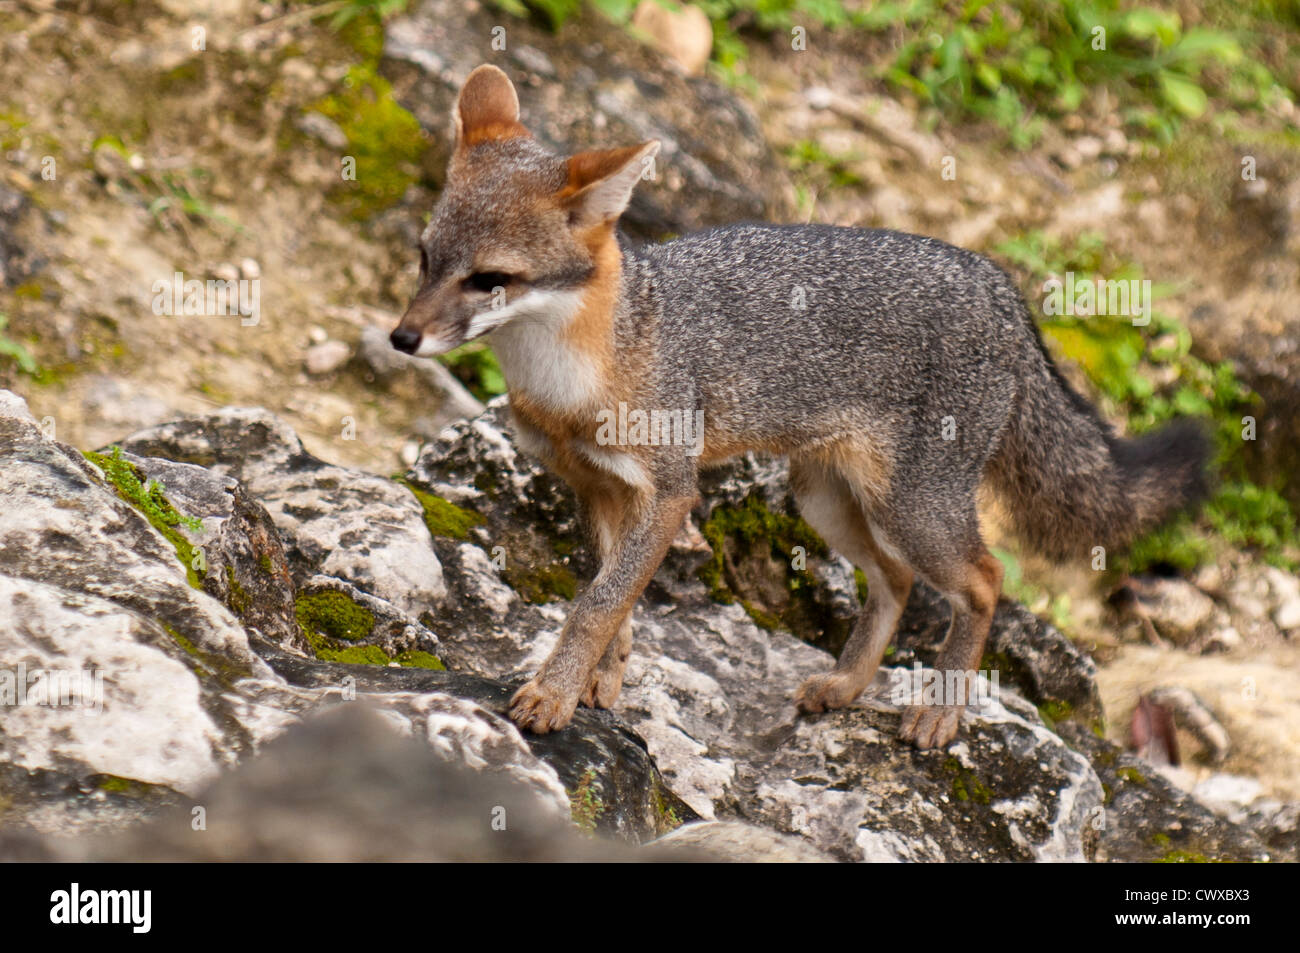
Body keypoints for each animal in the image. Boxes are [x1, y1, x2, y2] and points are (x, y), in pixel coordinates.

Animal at [387, 65, 1206, 748]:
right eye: (425, 259)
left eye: (490, 280)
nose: (401, 337)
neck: (581, 369)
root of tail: (997, 282)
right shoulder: (600, 488)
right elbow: (612, 604)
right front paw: (599, 684)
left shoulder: (669, 491)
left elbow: (596, 604)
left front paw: (552, 695)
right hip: (826, 498)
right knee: (896, 582)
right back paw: (846, 684)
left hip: (910, 507)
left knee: (985, 578)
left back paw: (942, 709)